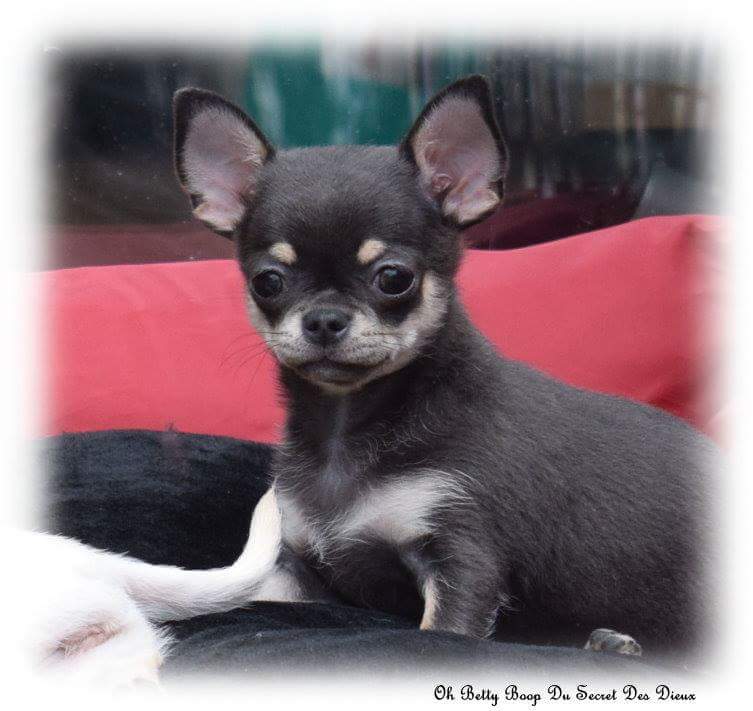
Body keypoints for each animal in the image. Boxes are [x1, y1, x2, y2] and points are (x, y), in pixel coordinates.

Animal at [24, 75, 716, 683]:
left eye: (393, 278)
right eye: (267, 282)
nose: (324, 319)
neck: (346, 430)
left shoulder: (462, 561)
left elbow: (441, 635)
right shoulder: (302, 571)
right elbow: (253, 594)